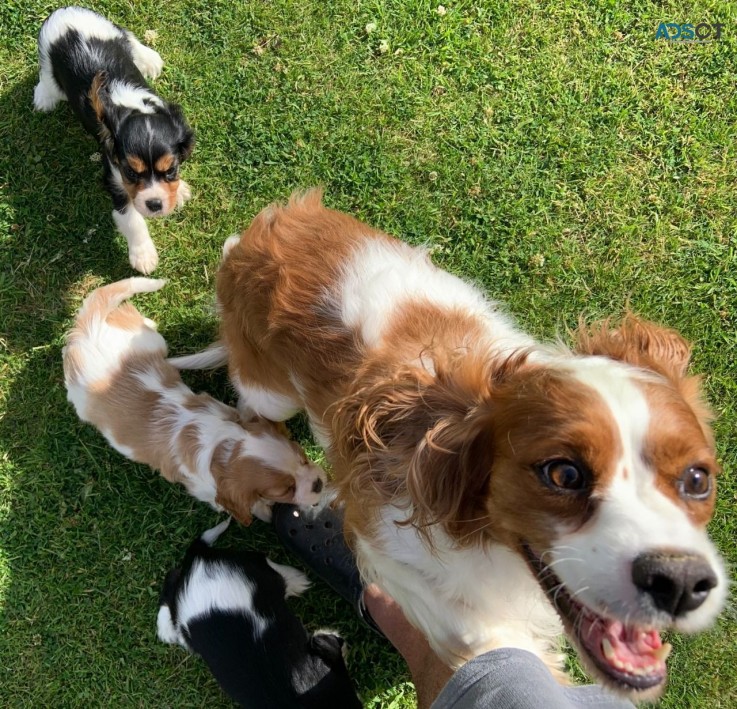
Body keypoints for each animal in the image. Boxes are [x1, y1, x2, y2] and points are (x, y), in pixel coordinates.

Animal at [33, 8, 194, 274]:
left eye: (170, 170)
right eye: (131, 173)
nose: (155, 204)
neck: (133, 107)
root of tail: (64, 11)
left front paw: (179, 189)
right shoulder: (115, 179)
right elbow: (131, 218)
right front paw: (144, 256)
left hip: (109, 29)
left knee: (127, 35)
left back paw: (149, 58)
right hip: (48, 62)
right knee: (46, 79)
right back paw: (43, 98)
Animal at [63, 278, 324, 524]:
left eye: (303, 457)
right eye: (286, 489)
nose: (319, 484)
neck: (221, 445)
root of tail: (88, 329)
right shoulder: (206, 489)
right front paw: (265, 510)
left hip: (150, 342)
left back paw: (147, 321)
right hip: (81, 399)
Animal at [158, 516, 362, 708]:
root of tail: (198, 561)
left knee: (171, 578)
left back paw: (166, 630)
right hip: (257, 569)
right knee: (269, 565)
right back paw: (296, 579)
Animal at [177, 189, 724, 704]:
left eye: (697, 480)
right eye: (564, 474)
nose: (681, 583)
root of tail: (249, 240)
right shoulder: (379, 536)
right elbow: (473, 630)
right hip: (272, 394)